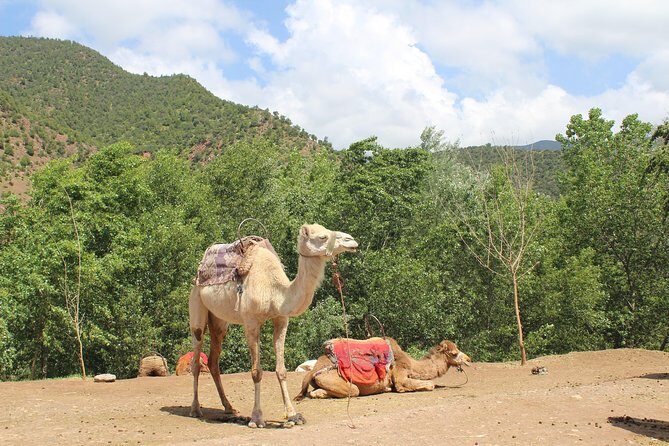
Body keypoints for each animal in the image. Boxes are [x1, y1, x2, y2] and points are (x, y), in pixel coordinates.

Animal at [188, 223, 358, 428]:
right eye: (322, 237)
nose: (351, 241)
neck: (275, 292)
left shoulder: (281, 319)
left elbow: (281, 370)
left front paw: (293, 415)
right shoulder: (251, 322)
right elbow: (256, 372)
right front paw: (256, 418)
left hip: (220, 321)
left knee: (213, 360)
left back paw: (229, 408)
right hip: (197, 306)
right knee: (196, 357)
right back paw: (195, 409)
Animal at [294, 338, 471, 400]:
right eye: (454, 353)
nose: (469, 360)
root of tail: (313, 369)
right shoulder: (400, 375)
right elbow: (429, 384)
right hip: (335, 379)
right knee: (352, 391)